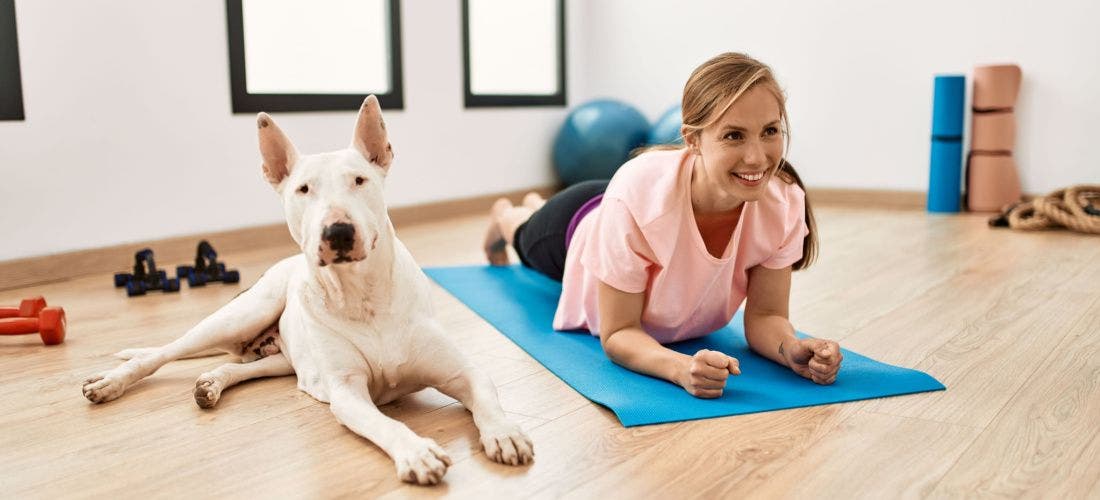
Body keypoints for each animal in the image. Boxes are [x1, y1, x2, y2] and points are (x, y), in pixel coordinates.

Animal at [80, 95, 532, 485]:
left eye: (360, 180)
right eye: (303, 189)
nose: (338, 232)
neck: (363, 294)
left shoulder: (461, 370)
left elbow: (485, 393)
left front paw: (504, 431)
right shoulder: (347, 392)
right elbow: (385, 423)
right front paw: (416, 452)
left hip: (283, 358)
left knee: (244, 367)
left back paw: (212, 384)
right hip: (243, 314)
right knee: (159, 354)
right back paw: (110, 383)